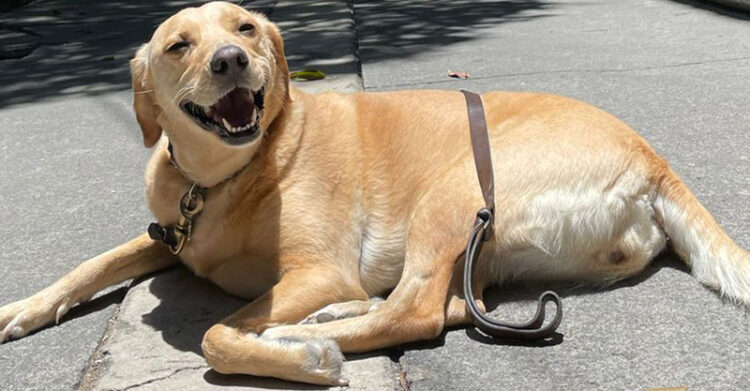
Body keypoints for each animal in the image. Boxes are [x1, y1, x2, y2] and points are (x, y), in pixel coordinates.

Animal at [1, 0, 750, 386]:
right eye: (178, 45)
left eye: (245, 27)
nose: (230, 60)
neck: (227, 177)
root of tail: (654, 160)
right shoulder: (168, 233)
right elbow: (93, 263)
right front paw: (23, 308)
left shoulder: (318, 268)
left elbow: (216, 332)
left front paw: (291, 354)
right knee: (451, 306)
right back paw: (331, 318)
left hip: (454, 190)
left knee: (414, 311)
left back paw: (304, 332)